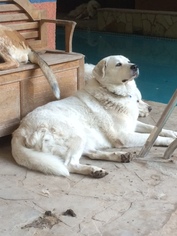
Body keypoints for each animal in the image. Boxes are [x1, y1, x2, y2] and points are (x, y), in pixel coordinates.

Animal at [11, 54, 177, 177]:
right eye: (118, 64)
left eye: (128, 61)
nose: (134, 66)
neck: (114, 93)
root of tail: (20, 130)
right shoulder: (125, 136)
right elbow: (151, 138)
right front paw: (170, 141)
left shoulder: (133, 124)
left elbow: (154, 129)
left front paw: (173, 133)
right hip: (76, 135)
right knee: (69, 165)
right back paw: (93, 170)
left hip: (82, 138)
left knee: (90, 153)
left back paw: (117, 157)